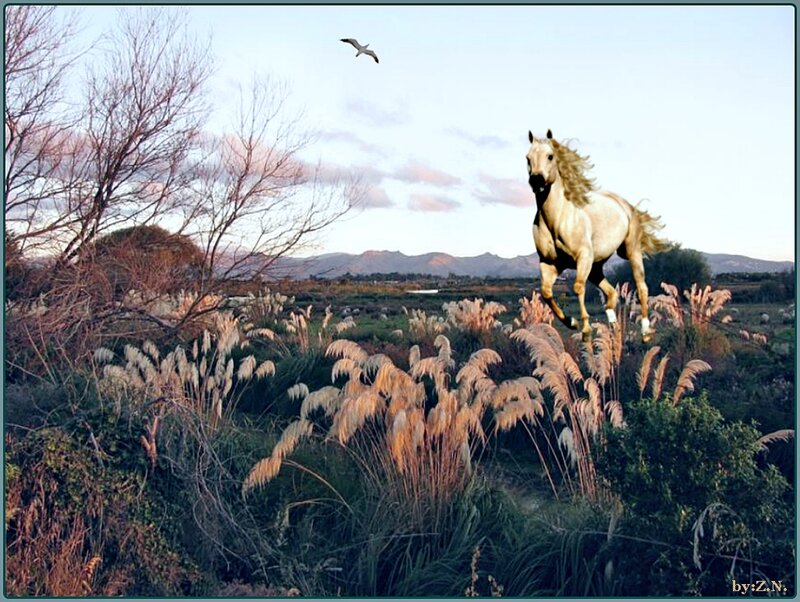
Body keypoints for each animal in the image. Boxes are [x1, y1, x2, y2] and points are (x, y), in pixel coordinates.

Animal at [526, 129, 669, 342]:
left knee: (641, 287)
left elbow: (578, 287)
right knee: (611, 293)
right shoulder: (549, 263)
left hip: (631, 252)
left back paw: (644, 332)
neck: (557, 219)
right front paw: (572, 322)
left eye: (550, 156)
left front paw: (585, 329)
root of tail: (626, 205)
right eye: (527, 158)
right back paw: (613, 324)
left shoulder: (583, 256)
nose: (536, 180)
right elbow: (546, 293)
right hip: (596, 265)